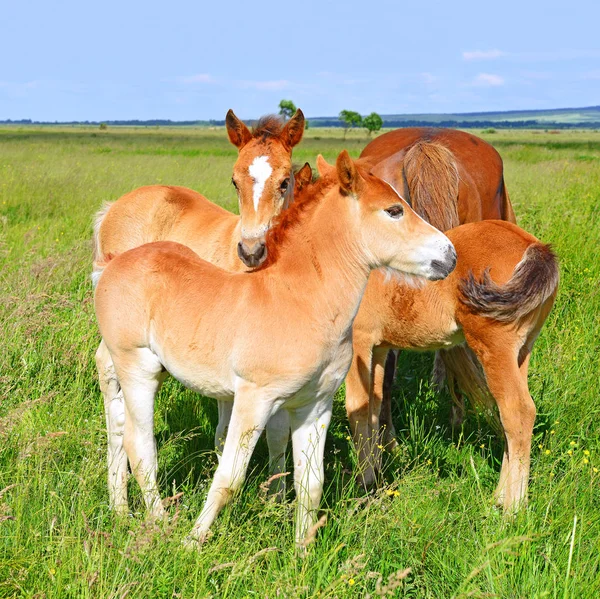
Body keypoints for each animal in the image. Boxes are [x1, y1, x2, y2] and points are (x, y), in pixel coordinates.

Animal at [96, 151, 458, 548]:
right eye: (394, 210)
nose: (450, 255)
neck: (300, 302)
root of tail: (115, 262)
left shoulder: (314, 407)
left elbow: (310, 483)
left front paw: (302, 551)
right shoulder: (254, 398)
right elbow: (229, 477)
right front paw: (193, 542)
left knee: (117, 426)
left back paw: (120, 510)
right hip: (137, 368)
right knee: (138, 444)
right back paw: (159, 523)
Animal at [344, 218, 560, 508]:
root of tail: (535, 246)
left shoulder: (359, 342)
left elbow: (358, 408)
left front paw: (364, 483)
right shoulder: (378, 349)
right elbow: (375, 406)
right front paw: (377, 472)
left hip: (494, 348)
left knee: (518, 412)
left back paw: (512, 507)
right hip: (522, 351)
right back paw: (501, 496)